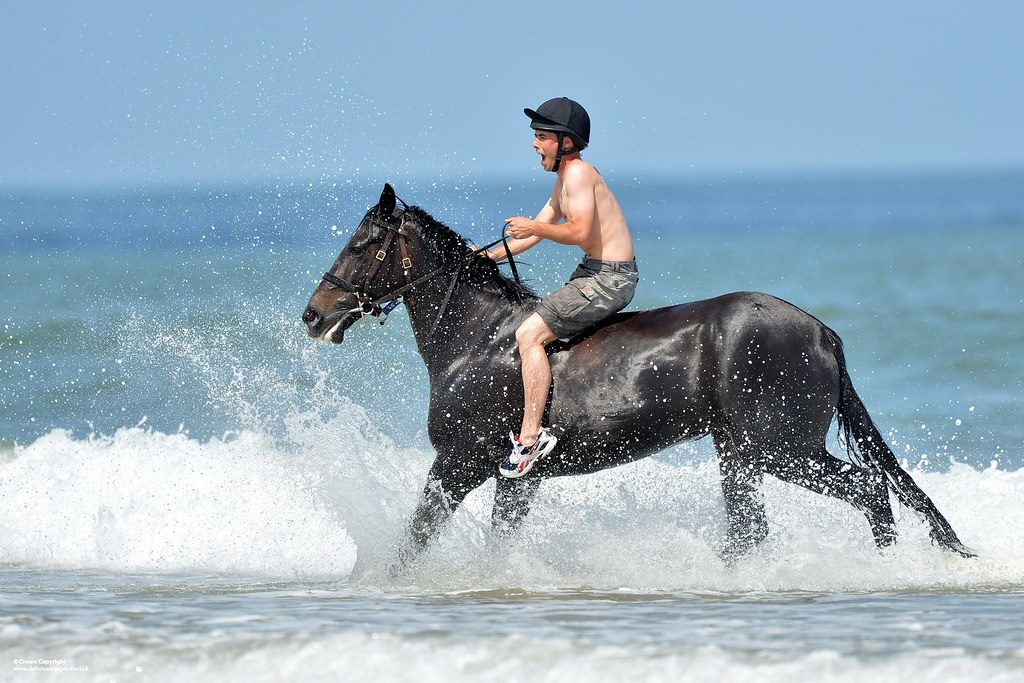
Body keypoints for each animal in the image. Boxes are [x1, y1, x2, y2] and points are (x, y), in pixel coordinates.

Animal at [302, 183, 972, 564]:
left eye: (361, 245)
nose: (315, 315)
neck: (478, 340)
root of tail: (821, 332)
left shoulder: (458, 463)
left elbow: (413, 542)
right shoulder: (516, 481)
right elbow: (490, 541)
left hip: (780, 448)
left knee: (868, 491)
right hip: (742, 454)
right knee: (756, 527)